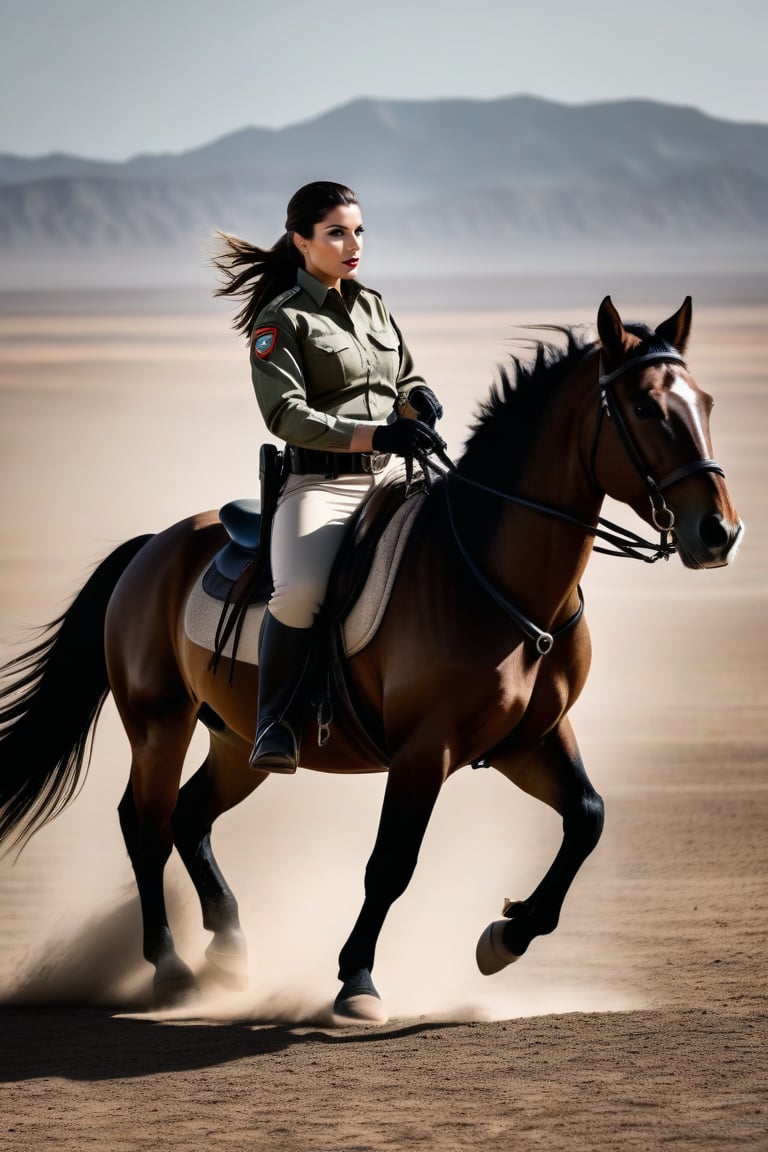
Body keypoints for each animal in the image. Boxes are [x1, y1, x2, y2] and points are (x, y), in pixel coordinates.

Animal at [1, 299, 746, 1027]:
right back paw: (172, 969)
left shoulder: (529, 740)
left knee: (189, 817)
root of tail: (155, 545)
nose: (719, 533)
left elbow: (587, 818)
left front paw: (505, 937)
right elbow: (392, 863)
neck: (492, 575)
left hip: (238, 740)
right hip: (159, 725)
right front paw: (356, 980)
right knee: (146, 825)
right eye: (646, 408)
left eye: (707, 402)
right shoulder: (425, 749)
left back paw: (229, 952)